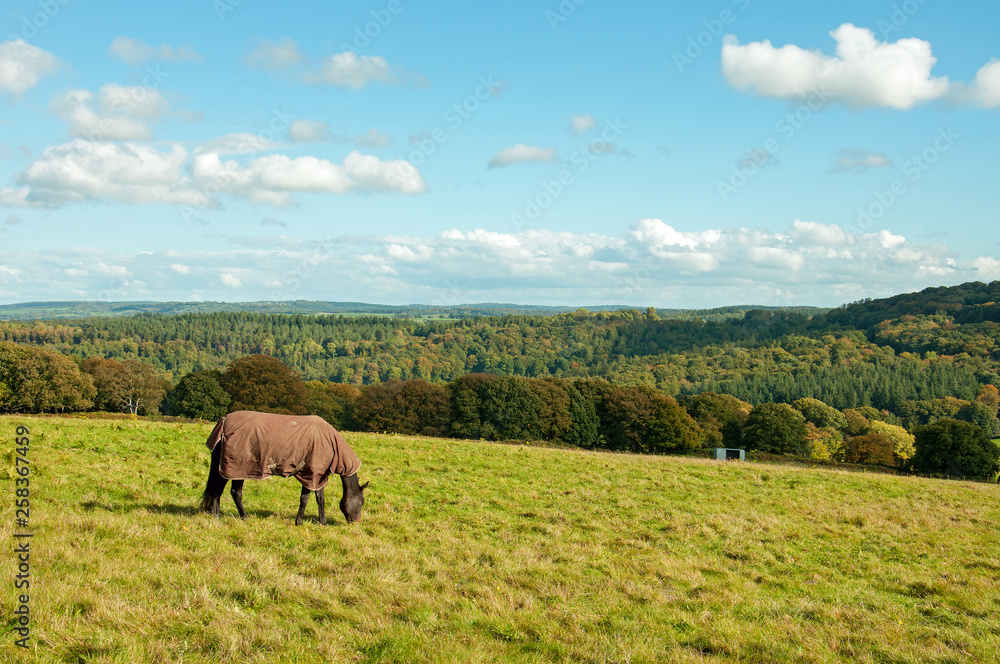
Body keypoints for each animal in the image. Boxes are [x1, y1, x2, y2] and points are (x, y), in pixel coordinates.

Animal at [198, 410, 368, 524]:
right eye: (362, 502)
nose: (357, 522)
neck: (329, 443)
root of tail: (223, 422)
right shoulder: (310, 474)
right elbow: (308, 499)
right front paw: (304, 522)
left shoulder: (315, 476)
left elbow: (316, 498)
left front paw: (318, 521)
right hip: (237, 468)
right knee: (233, 492)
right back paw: (242, 517)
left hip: (231, 469)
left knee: (219, 491)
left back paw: (218, 516)